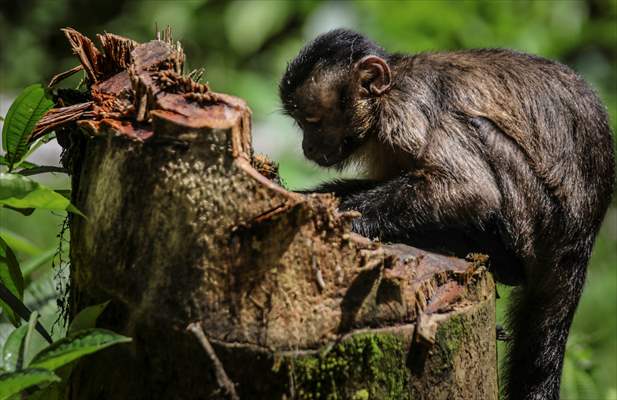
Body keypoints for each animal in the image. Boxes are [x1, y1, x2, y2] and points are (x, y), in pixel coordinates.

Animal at [280, 28, 616, 400]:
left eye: (312, 121)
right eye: (301, 124)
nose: (307, 147)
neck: (386, 97)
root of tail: (583, 238)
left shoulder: (407, 110)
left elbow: (471, 189)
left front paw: (342, 214)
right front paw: (311, 197)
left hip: (542, 221)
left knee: (480, 133)